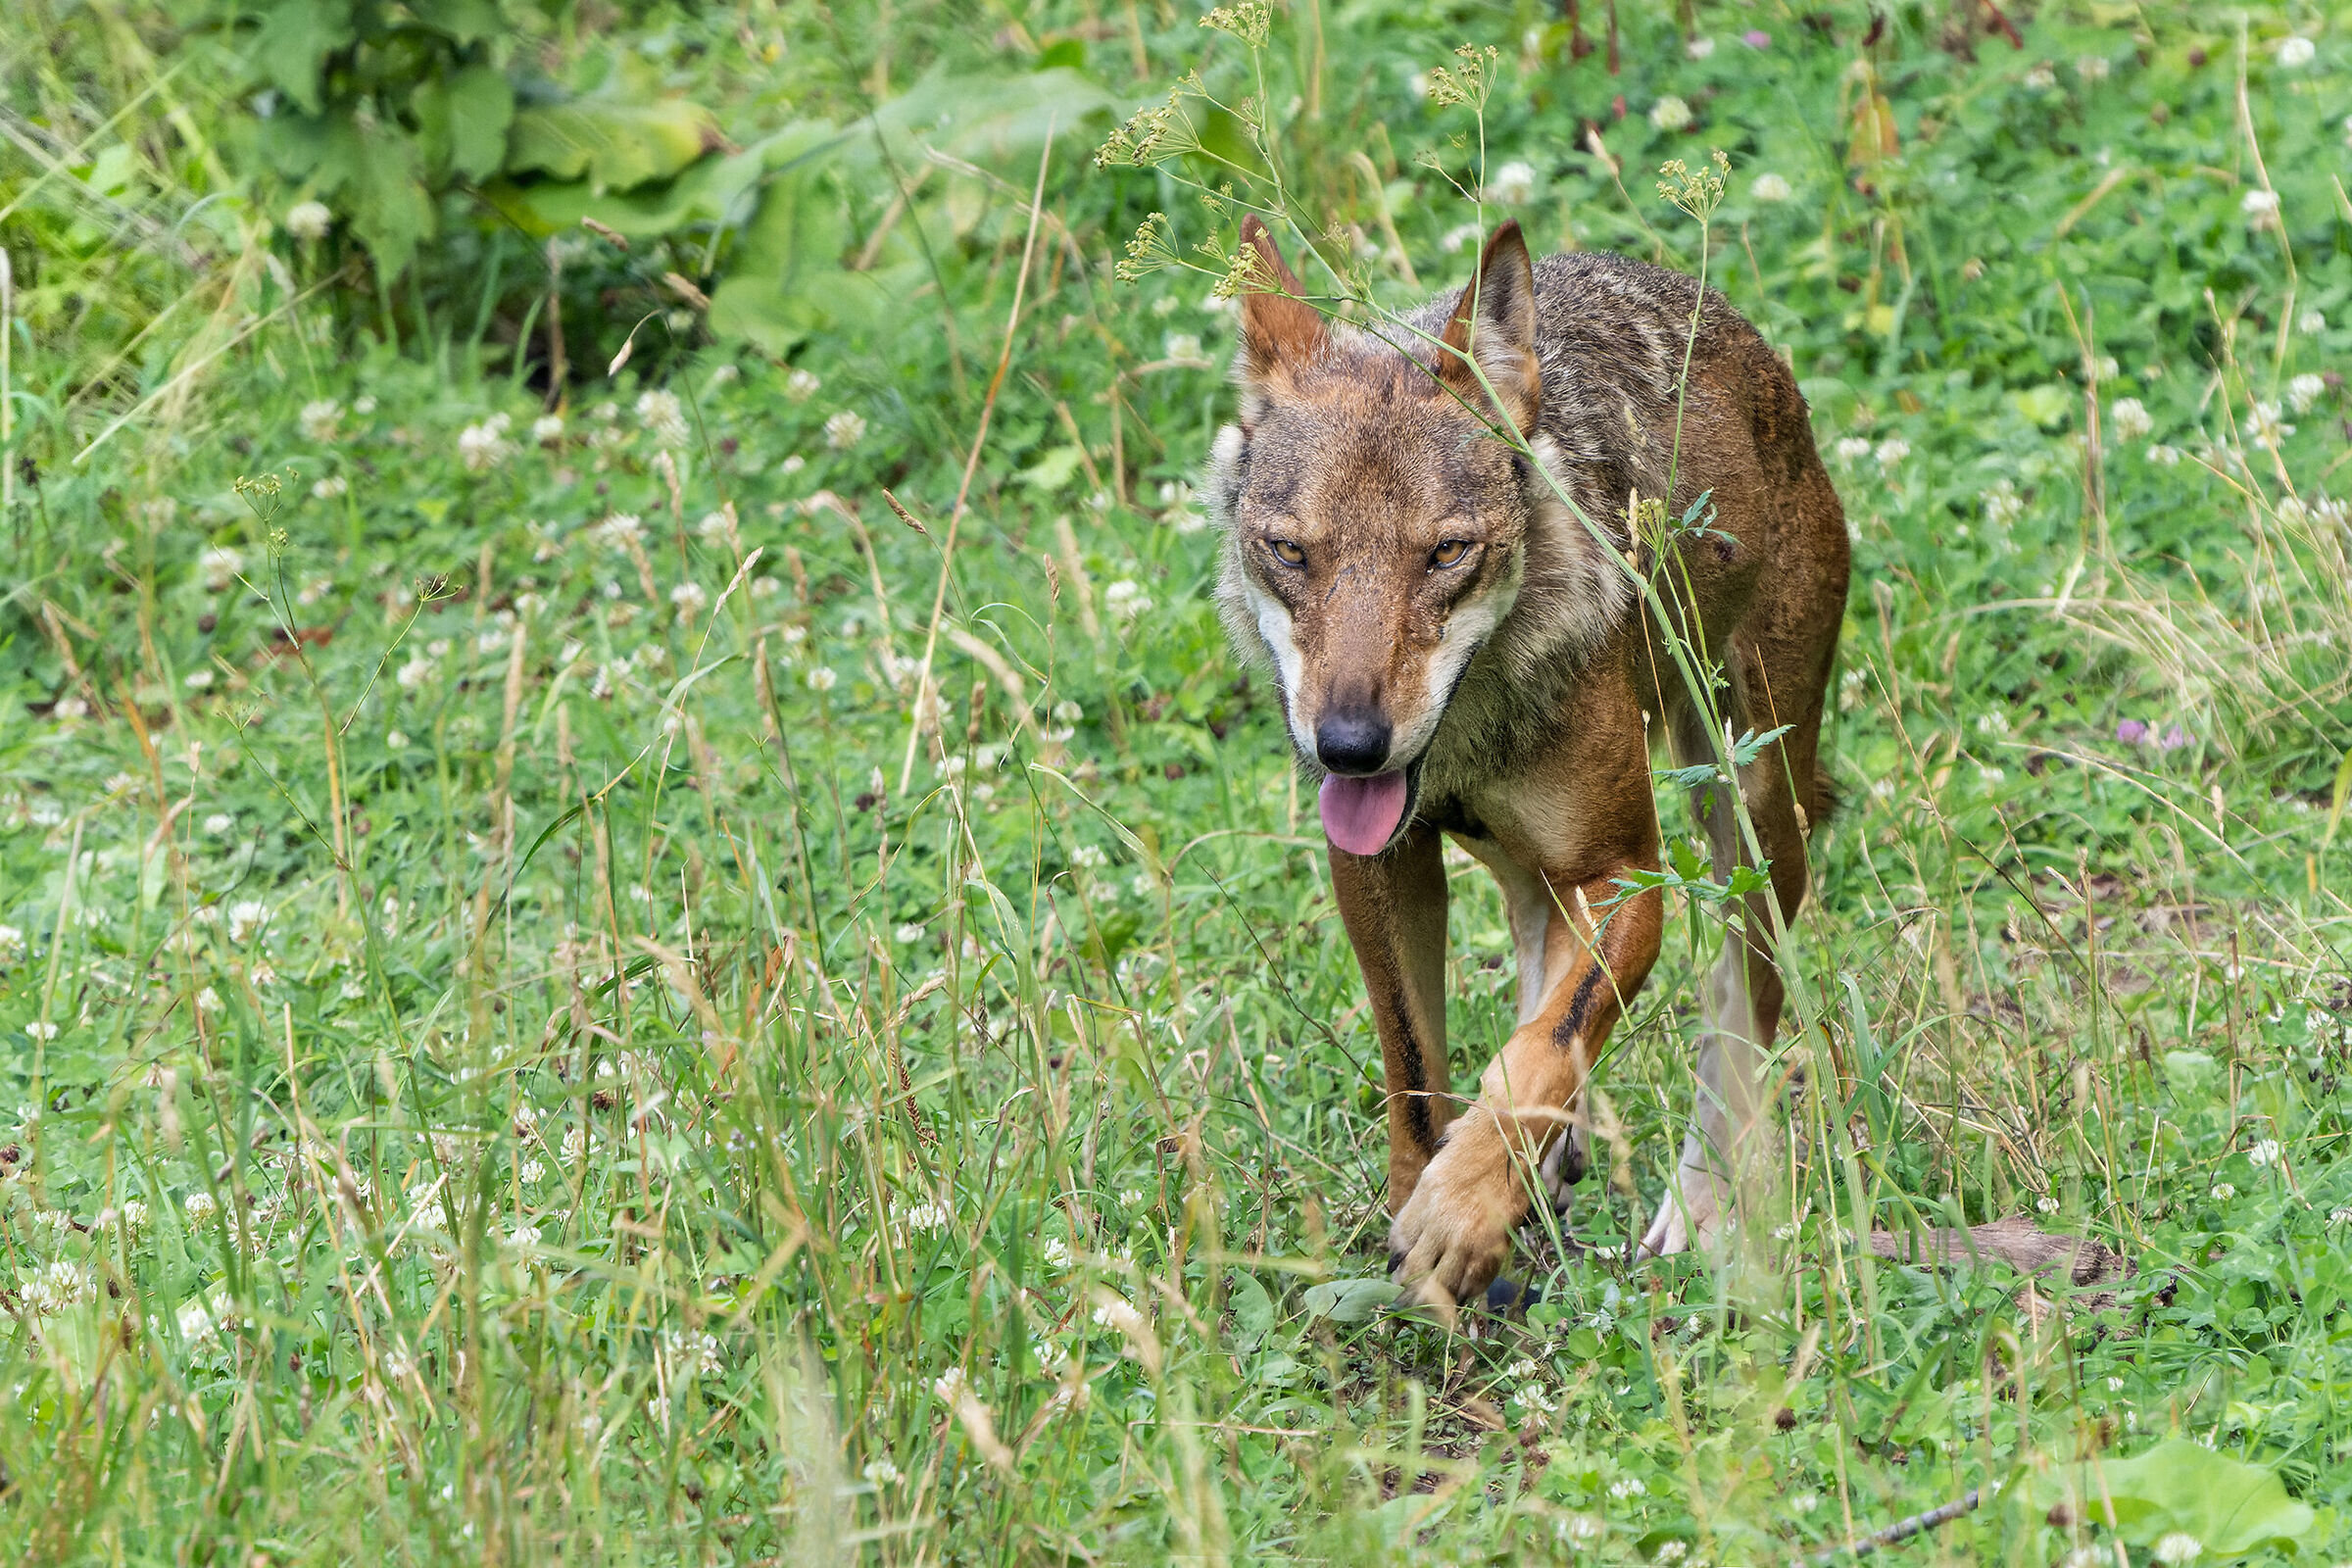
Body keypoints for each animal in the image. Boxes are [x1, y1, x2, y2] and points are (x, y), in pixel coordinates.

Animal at [1205, 214, 1849, 1322]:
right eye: (1290, 552)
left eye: (1446, 553)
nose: (1348, 744)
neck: (1470, 730)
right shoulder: (1379, 864)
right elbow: (1421, 1065)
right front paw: (1440, 1209)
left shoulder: (1629, 873)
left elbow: (1547, 1049)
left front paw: (1461, 1214)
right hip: (1540, 867)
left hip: (1750, 823)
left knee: (1736, 1023)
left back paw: (1697, 1209)